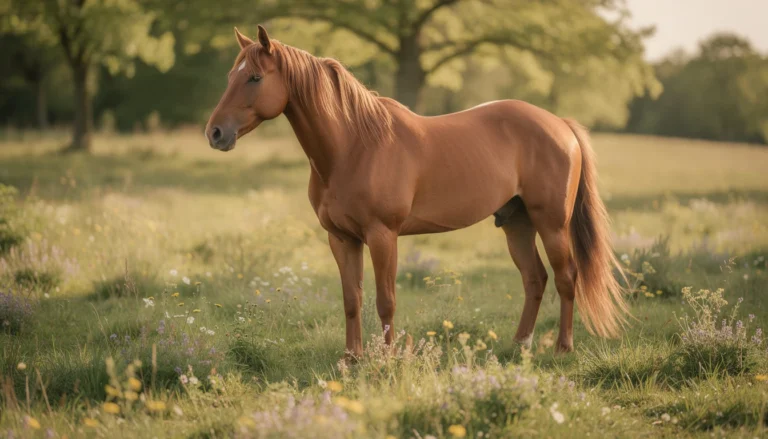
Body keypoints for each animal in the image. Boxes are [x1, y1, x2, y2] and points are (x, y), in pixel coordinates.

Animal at [205, 25, 628, 356]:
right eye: (228, 76)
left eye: (255, 78)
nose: (215, 133)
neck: (355, 146)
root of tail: (560, 124)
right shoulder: (341, 238)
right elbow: (352, 299)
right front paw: (352, 359)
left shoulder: (382, 236)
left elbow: (385, 301)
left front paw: (387, 359)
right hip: (516, 222)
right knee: (535, 279)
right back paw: (519, 346)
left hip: (551, 223)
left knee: (566, 277)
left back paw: (562, 349)